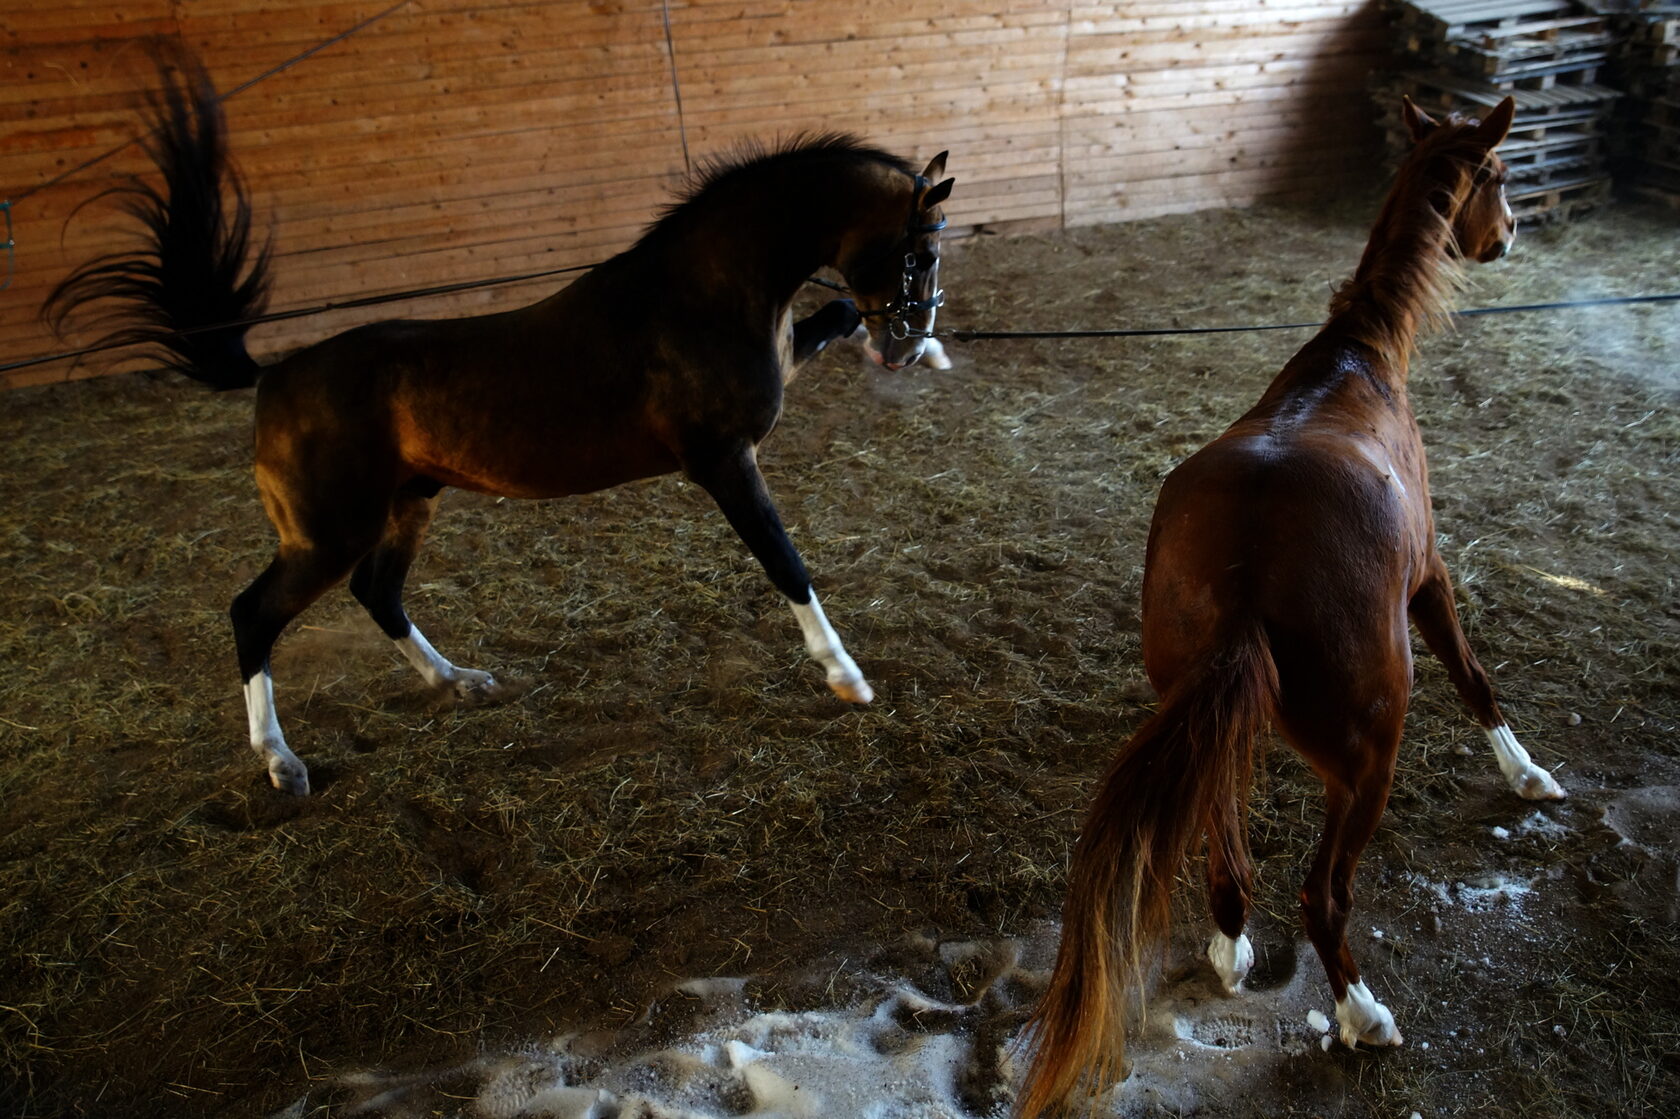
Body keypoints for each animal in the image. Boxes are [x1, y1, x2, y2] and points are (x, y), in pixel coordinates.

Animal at [45, 45, 954, 793]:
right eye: (920, 251)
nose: (906, 341)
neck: (702, 292)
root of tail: (273, 376)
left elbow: (836, 311)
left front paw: (929, 354)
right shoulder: (724, 461)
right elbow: (786, 562)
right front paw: (846, 677)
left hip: (406, 505)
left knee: (378, 593)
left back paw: (458, 683)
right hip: (326, 535)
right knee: (253, 614)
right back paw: (281, 761)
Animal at [1014, 97, 1565, 1115]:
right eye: (1501, 174)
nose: (1508, 235)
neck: (1354, 361)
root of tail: (1248, 579)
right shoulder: (1429, 574)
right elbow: (1476, 676)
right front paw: (1529, 773)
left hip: (1207, 719)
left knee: (1225, 848)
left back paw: (1232, 945)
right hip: (1365, 759)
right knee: (1322, 894)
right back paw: (1364, 1014)